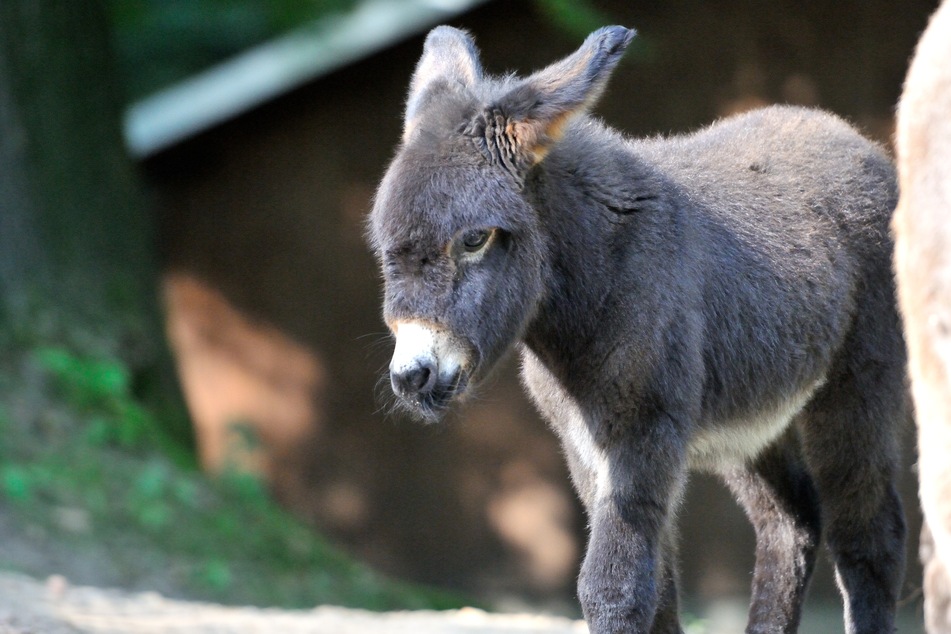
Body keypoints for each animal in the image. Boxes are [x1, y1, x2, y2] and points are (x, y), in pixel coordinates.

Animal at [366, 25, 908, 632]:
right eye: (384, 250)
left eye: (475, 238)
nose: (412, 377)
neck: (596, 285)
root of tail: (850, 135)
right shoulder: (584, 447)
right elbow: (659, 592)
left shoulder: (643, 431)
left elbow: (613, 587)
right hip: (751, 418)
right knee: (792, 522)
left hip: (858, 388)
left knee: (869, 536)